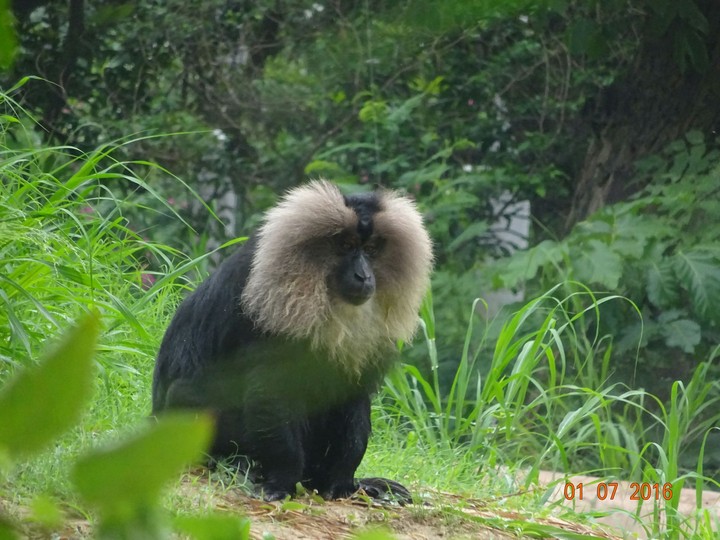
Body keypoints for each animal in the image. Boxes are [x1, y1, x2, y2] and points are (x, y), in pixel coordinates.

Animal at [151, 180, 433, 502]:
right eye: (346, 246)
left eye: (371, 249)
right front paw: (282, 481)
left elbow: (351, 398)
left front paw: (343, 484)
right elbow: (270, 394)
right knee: (187, 393)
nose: (364, 276)